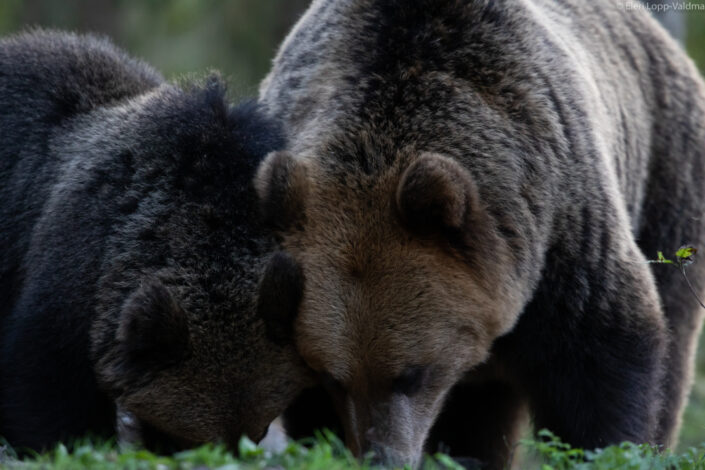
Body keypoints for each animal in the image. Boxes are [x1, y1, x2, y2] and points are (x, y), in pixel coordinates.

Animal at [258, 0, 704, 468]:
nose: (384, 456)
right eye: (333, 377)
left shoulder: (563, 233)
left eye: (411, 375)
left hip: (666, 180)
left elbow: (602, 361)